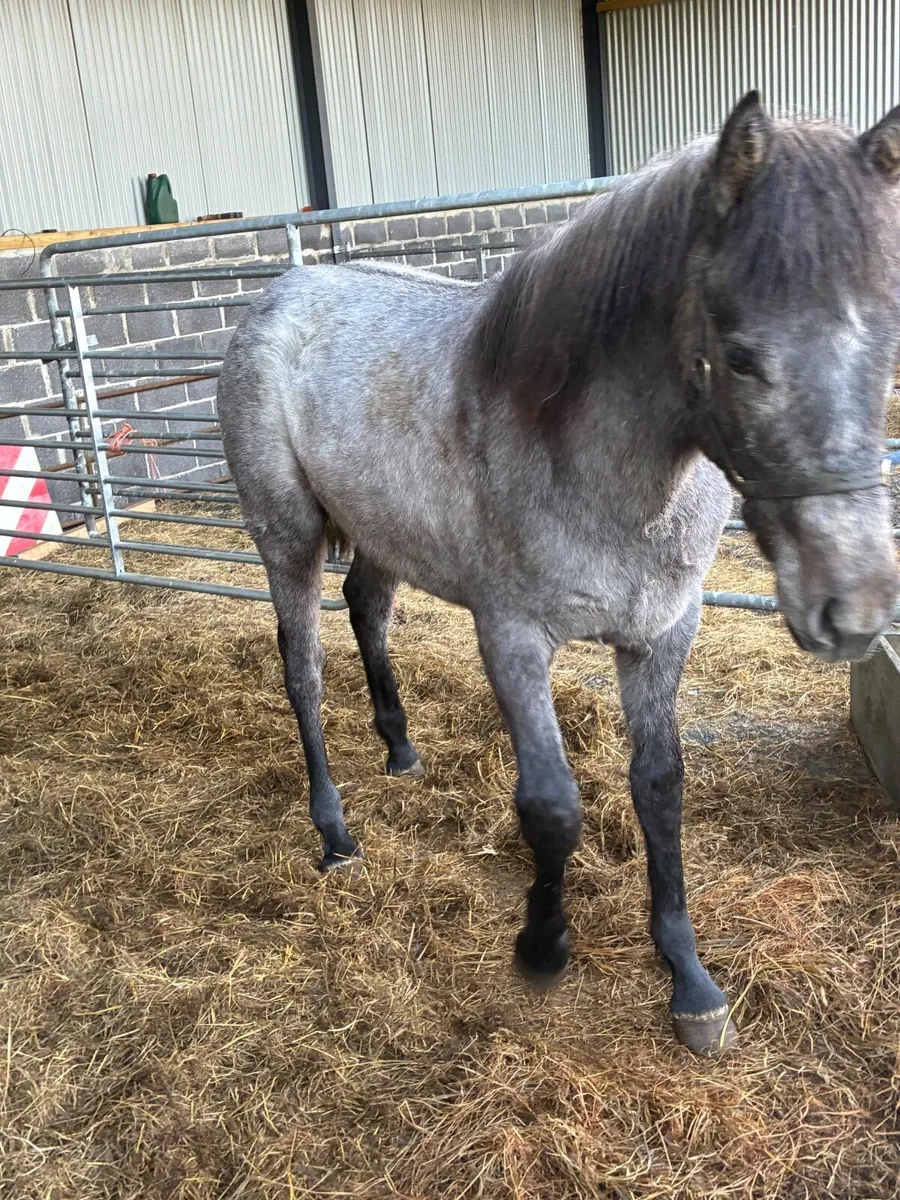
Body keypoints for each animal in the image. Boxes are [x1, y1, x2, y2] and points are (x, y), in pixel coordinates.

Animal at [218, 93, 900, 1056]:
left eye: (889, 340)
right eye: (738, 354)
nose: (857, 608)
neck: (600, 466)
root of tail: (281, 294)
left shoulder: (662, 633)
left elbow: (659, 788)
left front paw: (690, 981)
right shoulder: (512, 638)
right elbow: (551, 807)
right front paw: (542, 948)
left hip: (381, 534)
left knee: (368, 611)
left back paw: (401, 751)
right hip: (287, 536)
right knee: (304, 674)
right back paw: (336, 835)